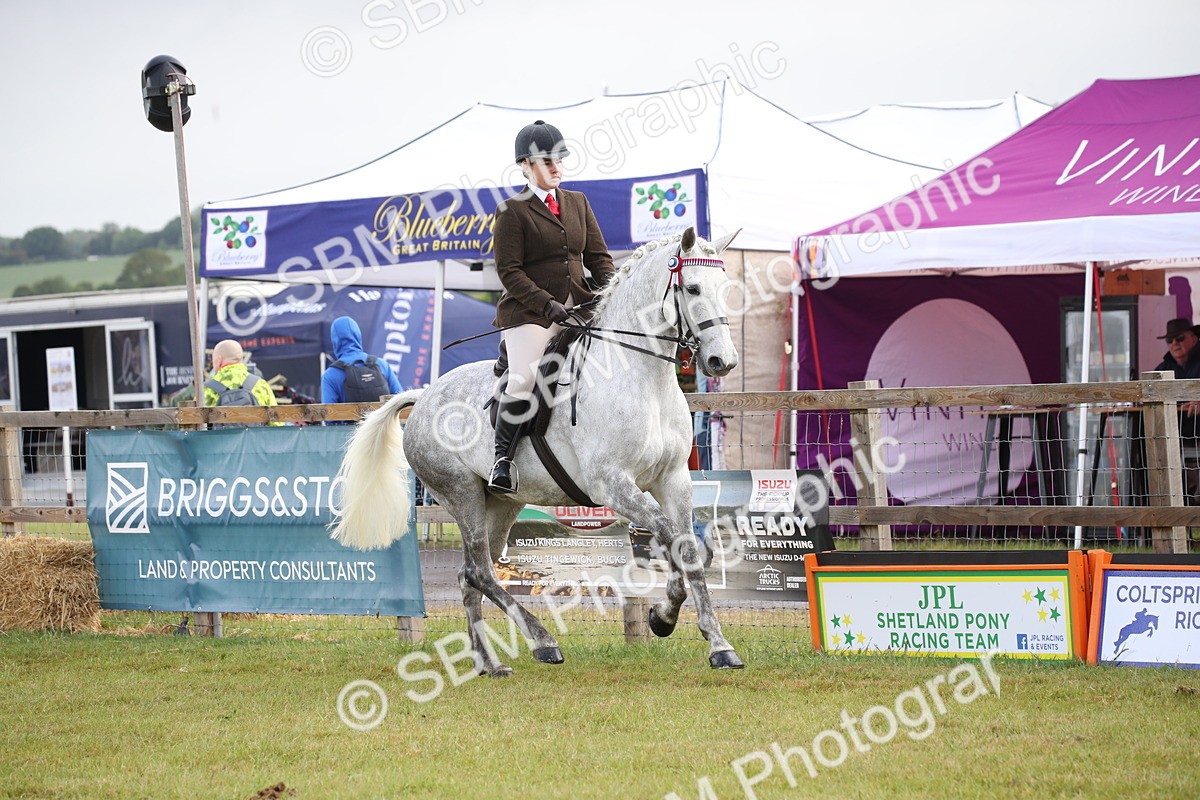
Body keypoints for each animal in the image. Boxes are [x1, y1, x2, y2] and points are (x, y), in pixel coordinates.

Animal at [330, 225, 745, 676]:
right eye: (692, 288)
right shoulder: (613, 484)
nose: (722, 361)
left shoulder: (673, 480)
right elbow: (670, 538)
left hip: (501, 503)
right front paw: (666, 617)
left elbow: (687, 547)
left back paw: (489, 663)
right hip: (461, 493)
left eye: (726, 289)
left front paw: (714, 642)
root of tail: (422, 396)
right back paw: (543, 641)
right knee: (481, 572)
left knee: (468, 576)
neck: (642, 380)